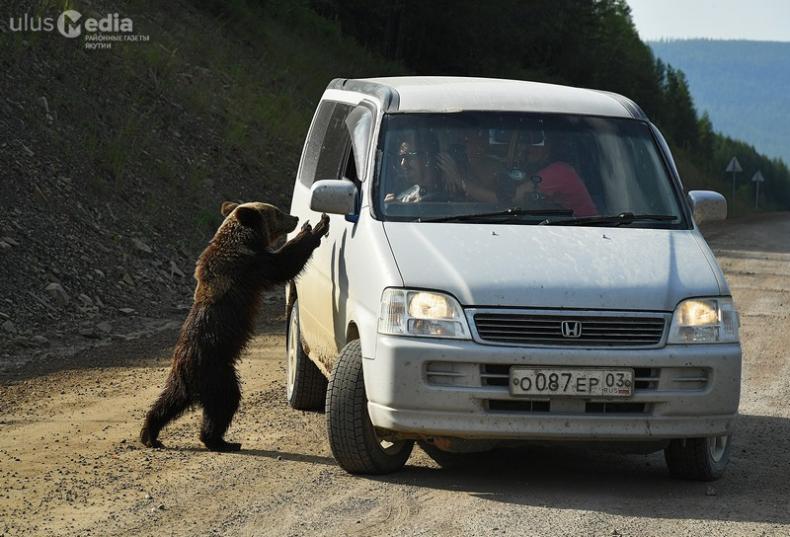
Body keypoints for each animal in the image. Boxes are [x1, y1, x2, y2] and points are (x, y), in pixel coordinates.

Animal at [141, 203, 330, 450]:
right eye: (277, 212)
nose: (296, 217)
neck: (244, 240)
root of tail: (188, 373)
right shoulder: (251, 266)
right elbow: (284, 264)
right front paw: (315, 228)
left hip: (183, 380)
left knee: (168, 402)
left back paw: (150, 434)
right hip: (217, 371)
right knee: (226, 401)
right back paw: (219, 440)